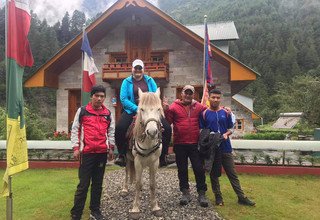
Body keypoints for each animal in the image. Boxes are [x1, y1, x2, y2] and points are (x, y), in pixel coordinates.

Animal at [122, 88, 164, 220]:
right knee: (127, 172)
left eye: (158, 109)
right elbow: (137, 184)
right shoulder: (137, 162)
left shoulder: (154, 162)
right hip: (127, 158)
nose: (152, 132)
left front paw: (155, 207)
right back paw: (124, 189)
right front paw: (135, 209)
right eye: (142, 109)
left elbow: (152, 184)